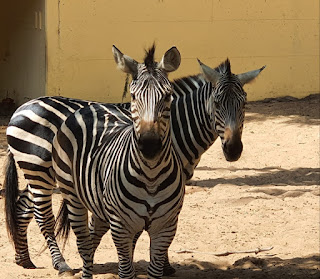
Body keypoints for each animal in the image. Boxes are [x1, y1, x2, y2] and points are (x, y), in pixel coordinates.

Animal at [52, 44, 185, 278]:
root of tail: (91, 106)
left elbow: (154, 270)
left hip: (100, 206)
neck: (151, 177)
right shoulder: (121, 226)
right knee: (84, 245)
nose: (149, 145)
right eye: (133, 96)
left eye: (168, 96)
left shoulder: (166, 227)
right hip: (72, 195)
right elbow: (125, 272)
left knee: (93, 238)